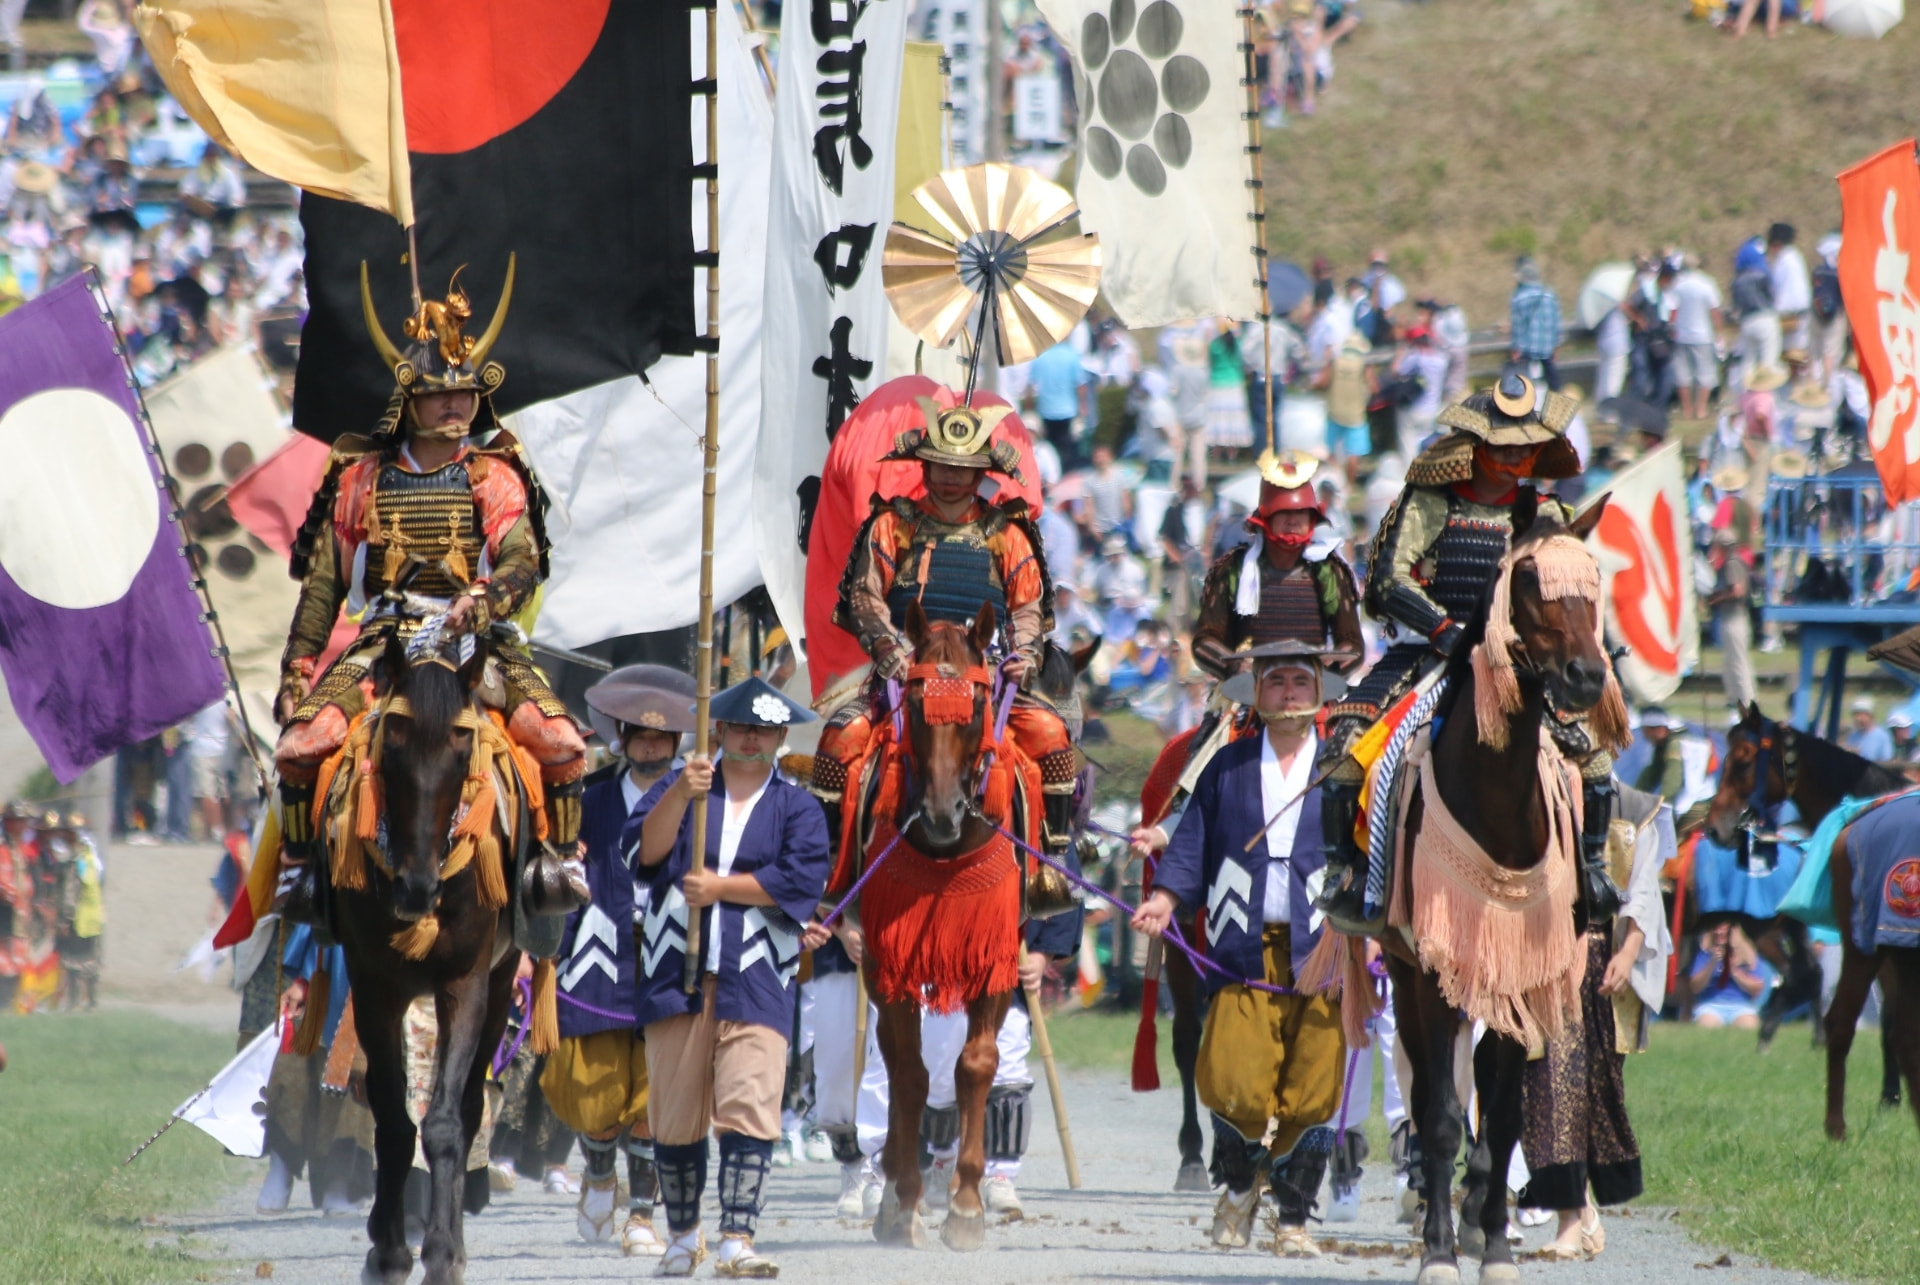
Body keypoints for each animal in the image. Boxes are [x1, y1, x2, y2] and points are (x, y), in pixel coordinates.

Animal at [1382, 499, 1620, 1283]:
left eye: (1594, 585)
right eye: (1529, 584)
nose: (1584, 677)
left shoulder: (1525, 969)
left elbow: (1508, 1114)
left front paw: (1491, 1246)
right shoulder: (1435, 970)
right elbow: (1440, 1114)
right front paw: (1438, 1253)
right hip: (1406, 973)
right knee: (1428, 1093)